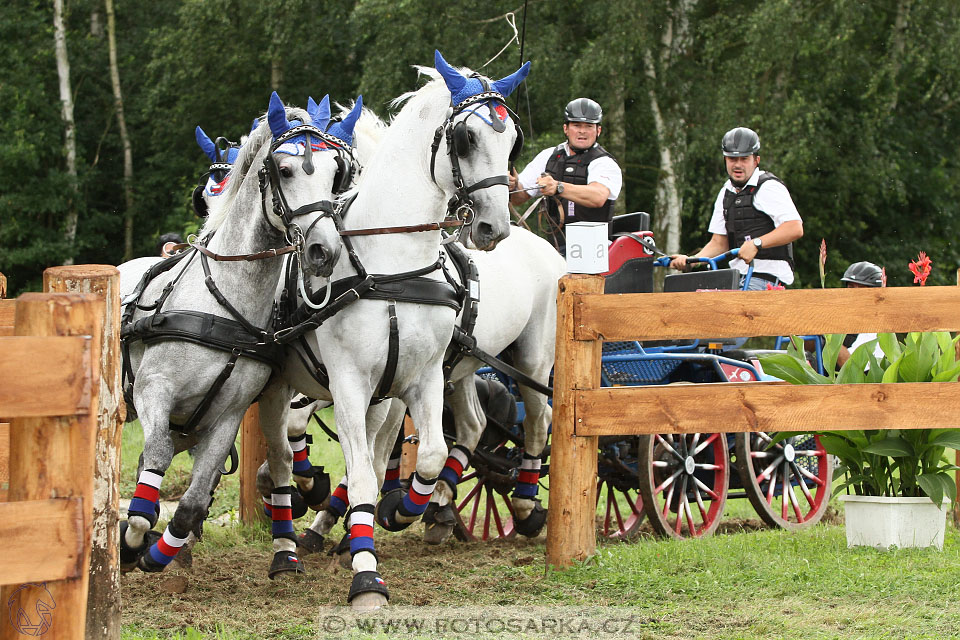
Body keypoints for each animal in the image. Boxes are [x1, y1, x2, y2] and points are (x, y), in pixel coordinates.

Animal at [116, 92, 348, 576]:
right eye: (284, 170)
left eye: (335, 173)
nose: (325, 251)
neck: (223, 303)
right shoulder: (153, 391)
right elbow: (155, 461)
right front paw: (132, 539)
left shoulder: (227, 415)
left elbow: (191, 501)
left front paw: (156, 552)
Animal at [258, 50, 528, 608]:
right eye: (466, 139)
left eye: (513, 139)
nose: (493, 227)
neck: (391, 266)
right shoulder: (348, 385)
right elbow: (362, 473)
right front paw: (366, 575)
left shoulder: (420, 380)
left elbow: (429, 455)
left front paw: (404, 509)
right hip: (284, 387)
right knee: (283, 454)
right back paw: (291, 542)